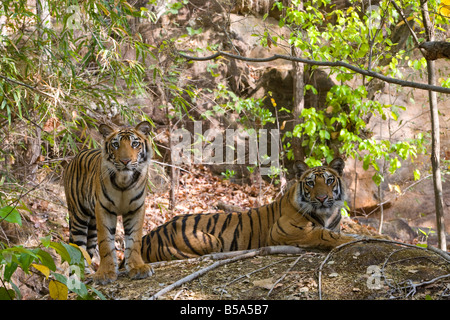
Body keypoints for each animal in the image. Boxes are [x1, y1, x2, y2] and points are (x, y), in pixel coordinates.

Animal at [62, 121, 155, 284]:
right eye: (116, 144)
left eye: (135, 144)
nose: (125, 161)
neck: (124, 181)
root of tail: (74, 157)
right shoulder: (104, 209)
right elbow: (105, 242)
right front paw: (105, 273)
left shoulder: (136, 208)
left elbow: (134, 239)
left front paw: (138, 268)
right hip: (79, 217)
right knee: (78, 247)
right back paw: (80, 277)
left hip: (92, 225)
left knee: (88, 249)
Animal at [142, 158, 360, 262]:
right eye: (311, 183)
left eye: (329, 181)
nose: (322, 198)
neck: (327, 213)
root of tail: (149, 235)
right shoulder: (285, 230)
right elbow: (324, 234)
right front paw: (354, 239)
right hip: (212, 241)